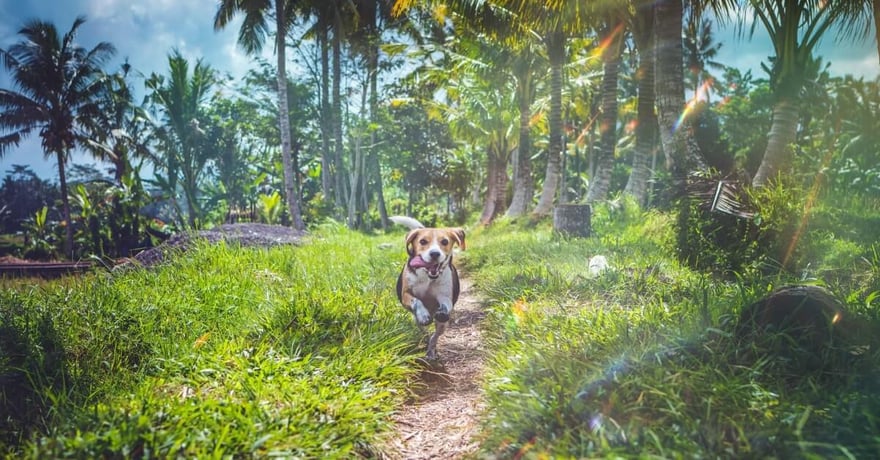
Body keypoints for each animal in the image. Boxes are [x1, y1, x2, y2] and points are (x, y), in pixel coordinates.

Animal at [388, 216, 464, 360]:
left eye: (445, 241)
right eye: (423, 241)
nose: (434, 254)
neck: (428, 277)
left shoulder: (445, 296)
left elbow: (445, 304)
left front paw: (442, 311)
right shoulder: (406, 295)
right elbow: (416, 301)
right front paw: (423, 314)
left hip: (443, 325)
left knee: (435, 336)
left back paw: (431, 351)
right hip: (416, 320)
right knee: (424, 331)